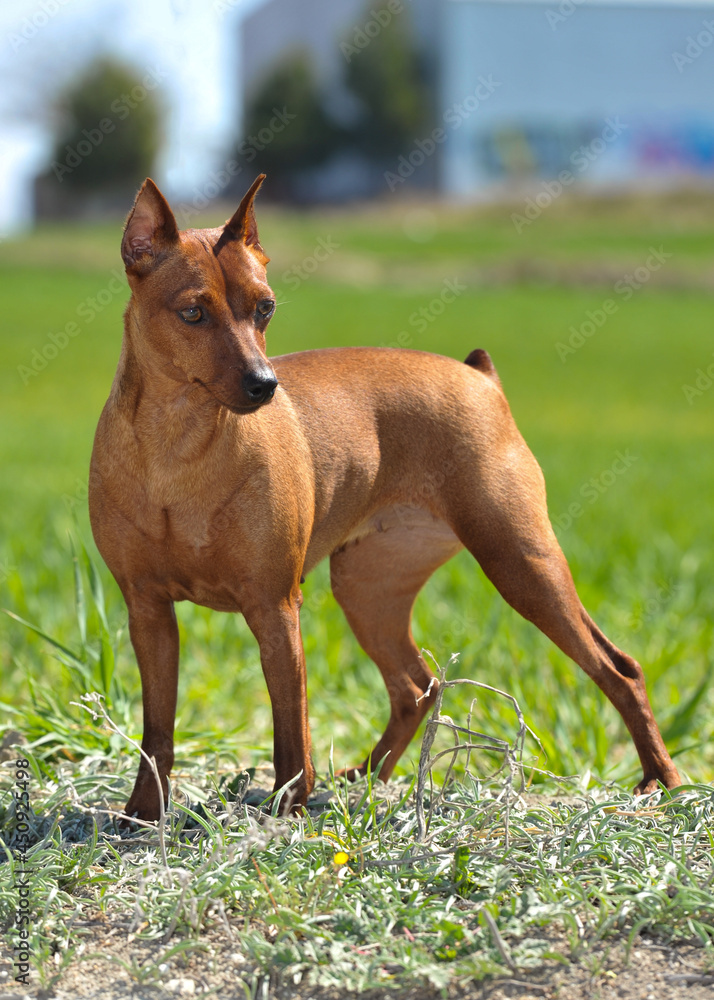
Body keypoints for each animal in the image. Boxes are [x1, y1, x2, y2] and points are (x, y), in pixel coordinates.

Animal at [89, 176, 680, 820]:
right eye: (192, 312)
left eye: (265, 307)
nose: (264, 385)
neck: (178, 444)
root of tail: (481, 378)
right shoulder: (148, 609)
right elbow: (158, 730)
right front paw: (143, 813)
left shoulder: (275, 606)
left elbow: (290, 725)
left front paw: (288, 811)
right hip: (369, 587)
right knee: (416, 686)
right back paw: (367, 779)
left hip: (522, 564)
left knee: (619, 668)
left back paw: (663, 782)